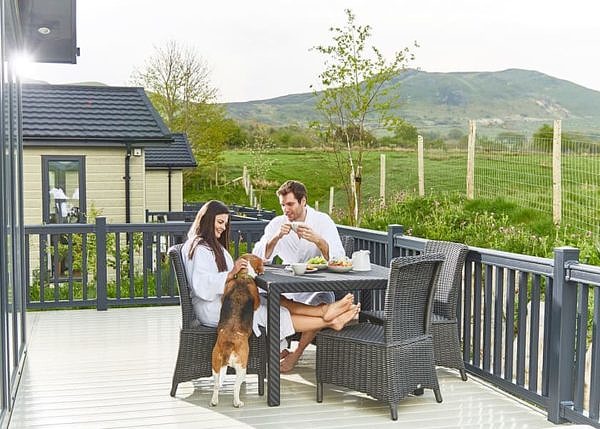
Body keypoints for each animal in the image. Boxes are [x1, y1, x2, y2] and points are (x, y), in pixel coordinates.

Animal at [212, 252, 264, 406]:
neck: (242, 276)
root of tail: (230, 343)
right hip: (242, 367)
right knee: (236, 387)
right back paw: (237, 402)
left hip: (215, 363)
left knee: (216, 384)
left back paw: (214, 401)